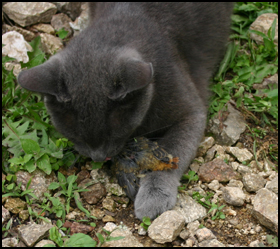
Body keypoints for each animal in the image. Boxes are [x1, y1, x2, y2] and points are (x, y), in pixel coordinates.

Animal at [17, 2, 234, 220]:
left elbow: (171, 153)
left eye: (114, 134)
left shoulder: (190, 112)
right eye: (75, 136)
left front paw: (154, 195)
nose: (98, 157)